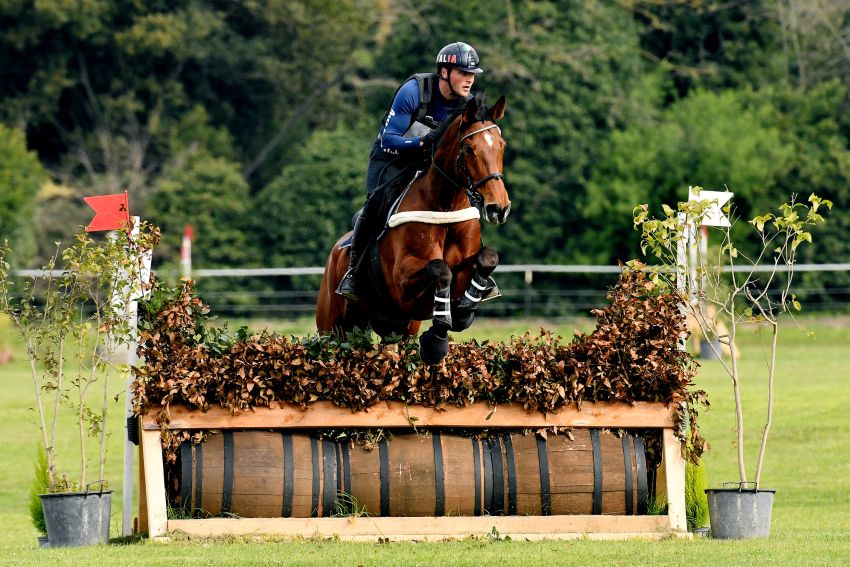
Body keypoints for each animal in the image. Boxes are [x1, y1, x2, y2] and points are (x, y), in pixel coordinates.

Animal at [316, 95, 510, 363]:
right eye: (469, 149)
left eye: (501, 146)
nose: (498, 207)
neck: (444, 206)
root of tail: (335, 251)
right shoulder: (402, 283)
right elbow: (440, 269)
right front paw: (436, 343)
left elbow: (487, 258)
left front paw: (463, 311)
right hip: (333, 329)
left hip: (397, 327)